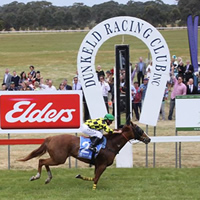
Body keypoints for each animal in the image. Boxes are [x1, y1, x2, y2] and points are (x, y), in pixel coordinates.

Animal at [18, 122, 150, 190]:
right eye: (139, 129)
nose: (148, 139)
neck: (110, 144)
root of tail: (50, 138)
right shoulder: (102, 165)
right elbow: (96, 178)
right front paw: (93, 189)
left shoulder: (98, 164)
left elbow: (94, 177)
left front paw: (79, 176)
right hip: (59, 159)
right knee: (42, 161)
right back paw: (37, 176)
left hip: (57, 158)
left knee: (44, 162)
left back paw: (48, 178)